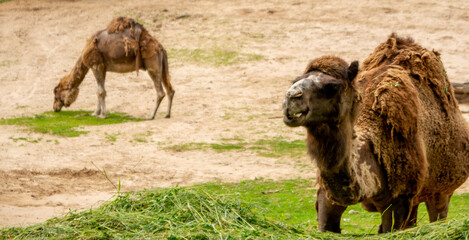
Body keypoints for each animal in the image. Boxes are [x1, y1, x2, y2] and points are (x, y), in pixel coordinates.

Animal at [282, 33, 468, 232]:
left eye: (332, 87)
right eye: (295, 80)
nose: (291, 97)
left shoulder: (400, 198)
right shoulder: (327, 196)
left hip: (442, 190)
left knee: (438, 214)